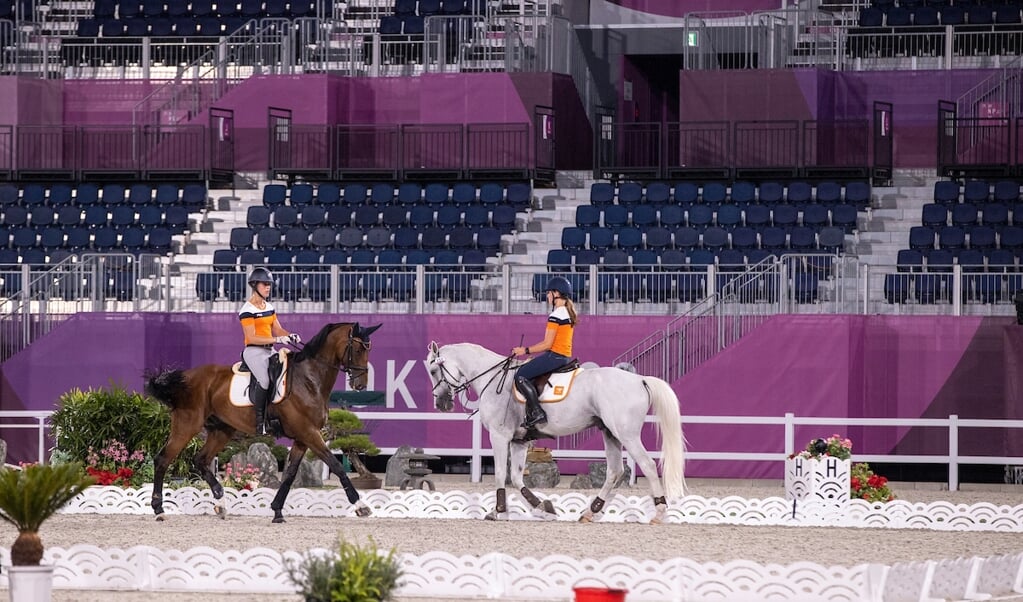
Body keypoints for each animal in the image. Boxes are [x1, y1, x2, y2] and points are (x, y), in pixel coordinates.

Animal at [144, 319, 380, 522]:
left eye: (369, 349)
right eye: (358, 349)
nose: (360, 385)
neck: (309, 379)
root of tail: (187, 377)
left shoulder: (302, 437)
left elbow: (290, 474)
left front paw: (277, 511)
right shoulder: (309, 433)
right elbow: (336, 465)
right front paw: (361, 506)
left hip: (221, 430)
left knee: (200, 459)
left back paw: (220, 502)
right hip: (187, 425)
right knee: (163, 459)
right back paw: (159, 510)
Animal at [423, 341, 687, 524]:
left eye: (434, 371)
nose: (440, 404)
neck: (492, 377)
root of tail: (639, 379)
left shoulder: (500, 436)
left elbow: (499, 474)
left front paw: (499, 512)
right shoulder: (519, 441)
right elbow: (516, 477)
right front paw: (543, 508)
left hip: (627, 435)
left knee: (647, 465)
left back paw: (659, 512)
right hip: (610, 433)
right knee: (615, 471)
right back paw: (591, 512)